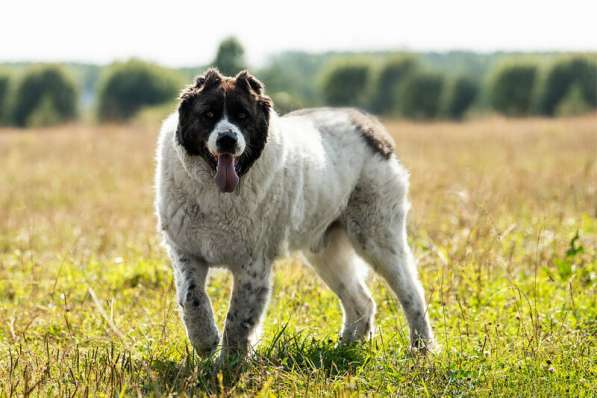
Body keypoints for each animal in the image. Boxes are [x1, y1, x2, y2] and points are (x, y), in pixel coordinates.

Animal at [154, 68, 434, 360]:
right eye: (208, 114)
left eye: (243, 116)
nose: (227, 140)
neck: (216, 194)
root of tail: (368, 125)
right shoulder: (186, 250)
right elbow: (192, 297)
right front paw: (205, 341)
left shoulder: (252, 264)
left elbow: (237, 318)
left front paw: (227, 363)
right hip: (325, 252)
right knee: (362, 301)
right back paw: (344, 348)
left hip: (377, 237)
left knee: (411, 292)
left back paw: (421, 349)